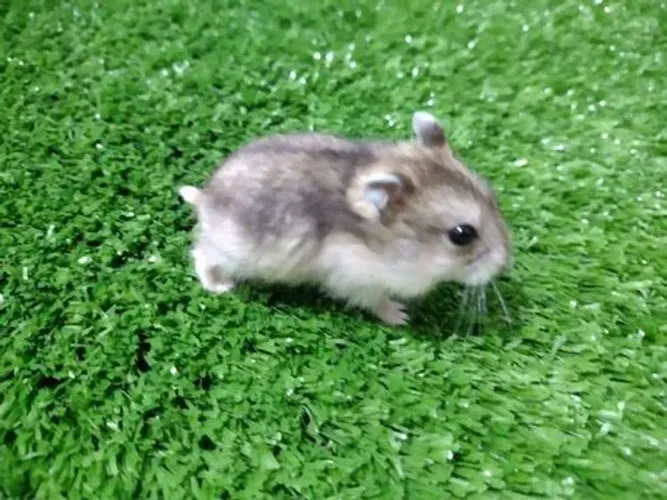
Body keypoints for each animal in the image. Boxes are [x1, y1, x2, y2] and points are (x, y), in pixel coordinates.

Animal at [178, 111, 511, 325]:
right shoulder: (359, 281)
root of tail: (205, 198)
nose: (506, 264)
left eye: (493, 196)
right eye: (462, 234)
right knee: (201, 254)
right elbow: (378, 302)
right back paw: (220, 286)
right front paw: (401, 316)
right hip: (232, 251)